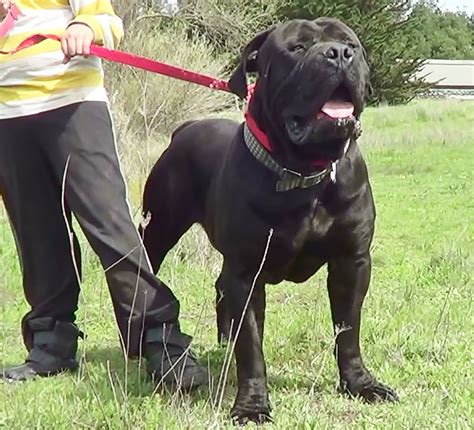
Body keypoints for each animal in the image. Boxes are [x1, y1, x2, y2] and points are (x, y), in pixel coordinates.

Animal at [143, 18, 398, 424]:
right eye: (296, 48)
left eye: (351, 43)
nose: (338, 54)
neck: (307, 173)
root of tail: (185, 127)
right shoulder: (247, 272)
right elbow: (251, 347)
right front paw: (251, 405)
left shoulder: (352, 261)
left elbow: (348, 330)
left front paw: (360, 384)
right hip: (159, 230)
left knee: (220, 288)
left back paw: (224, 342)